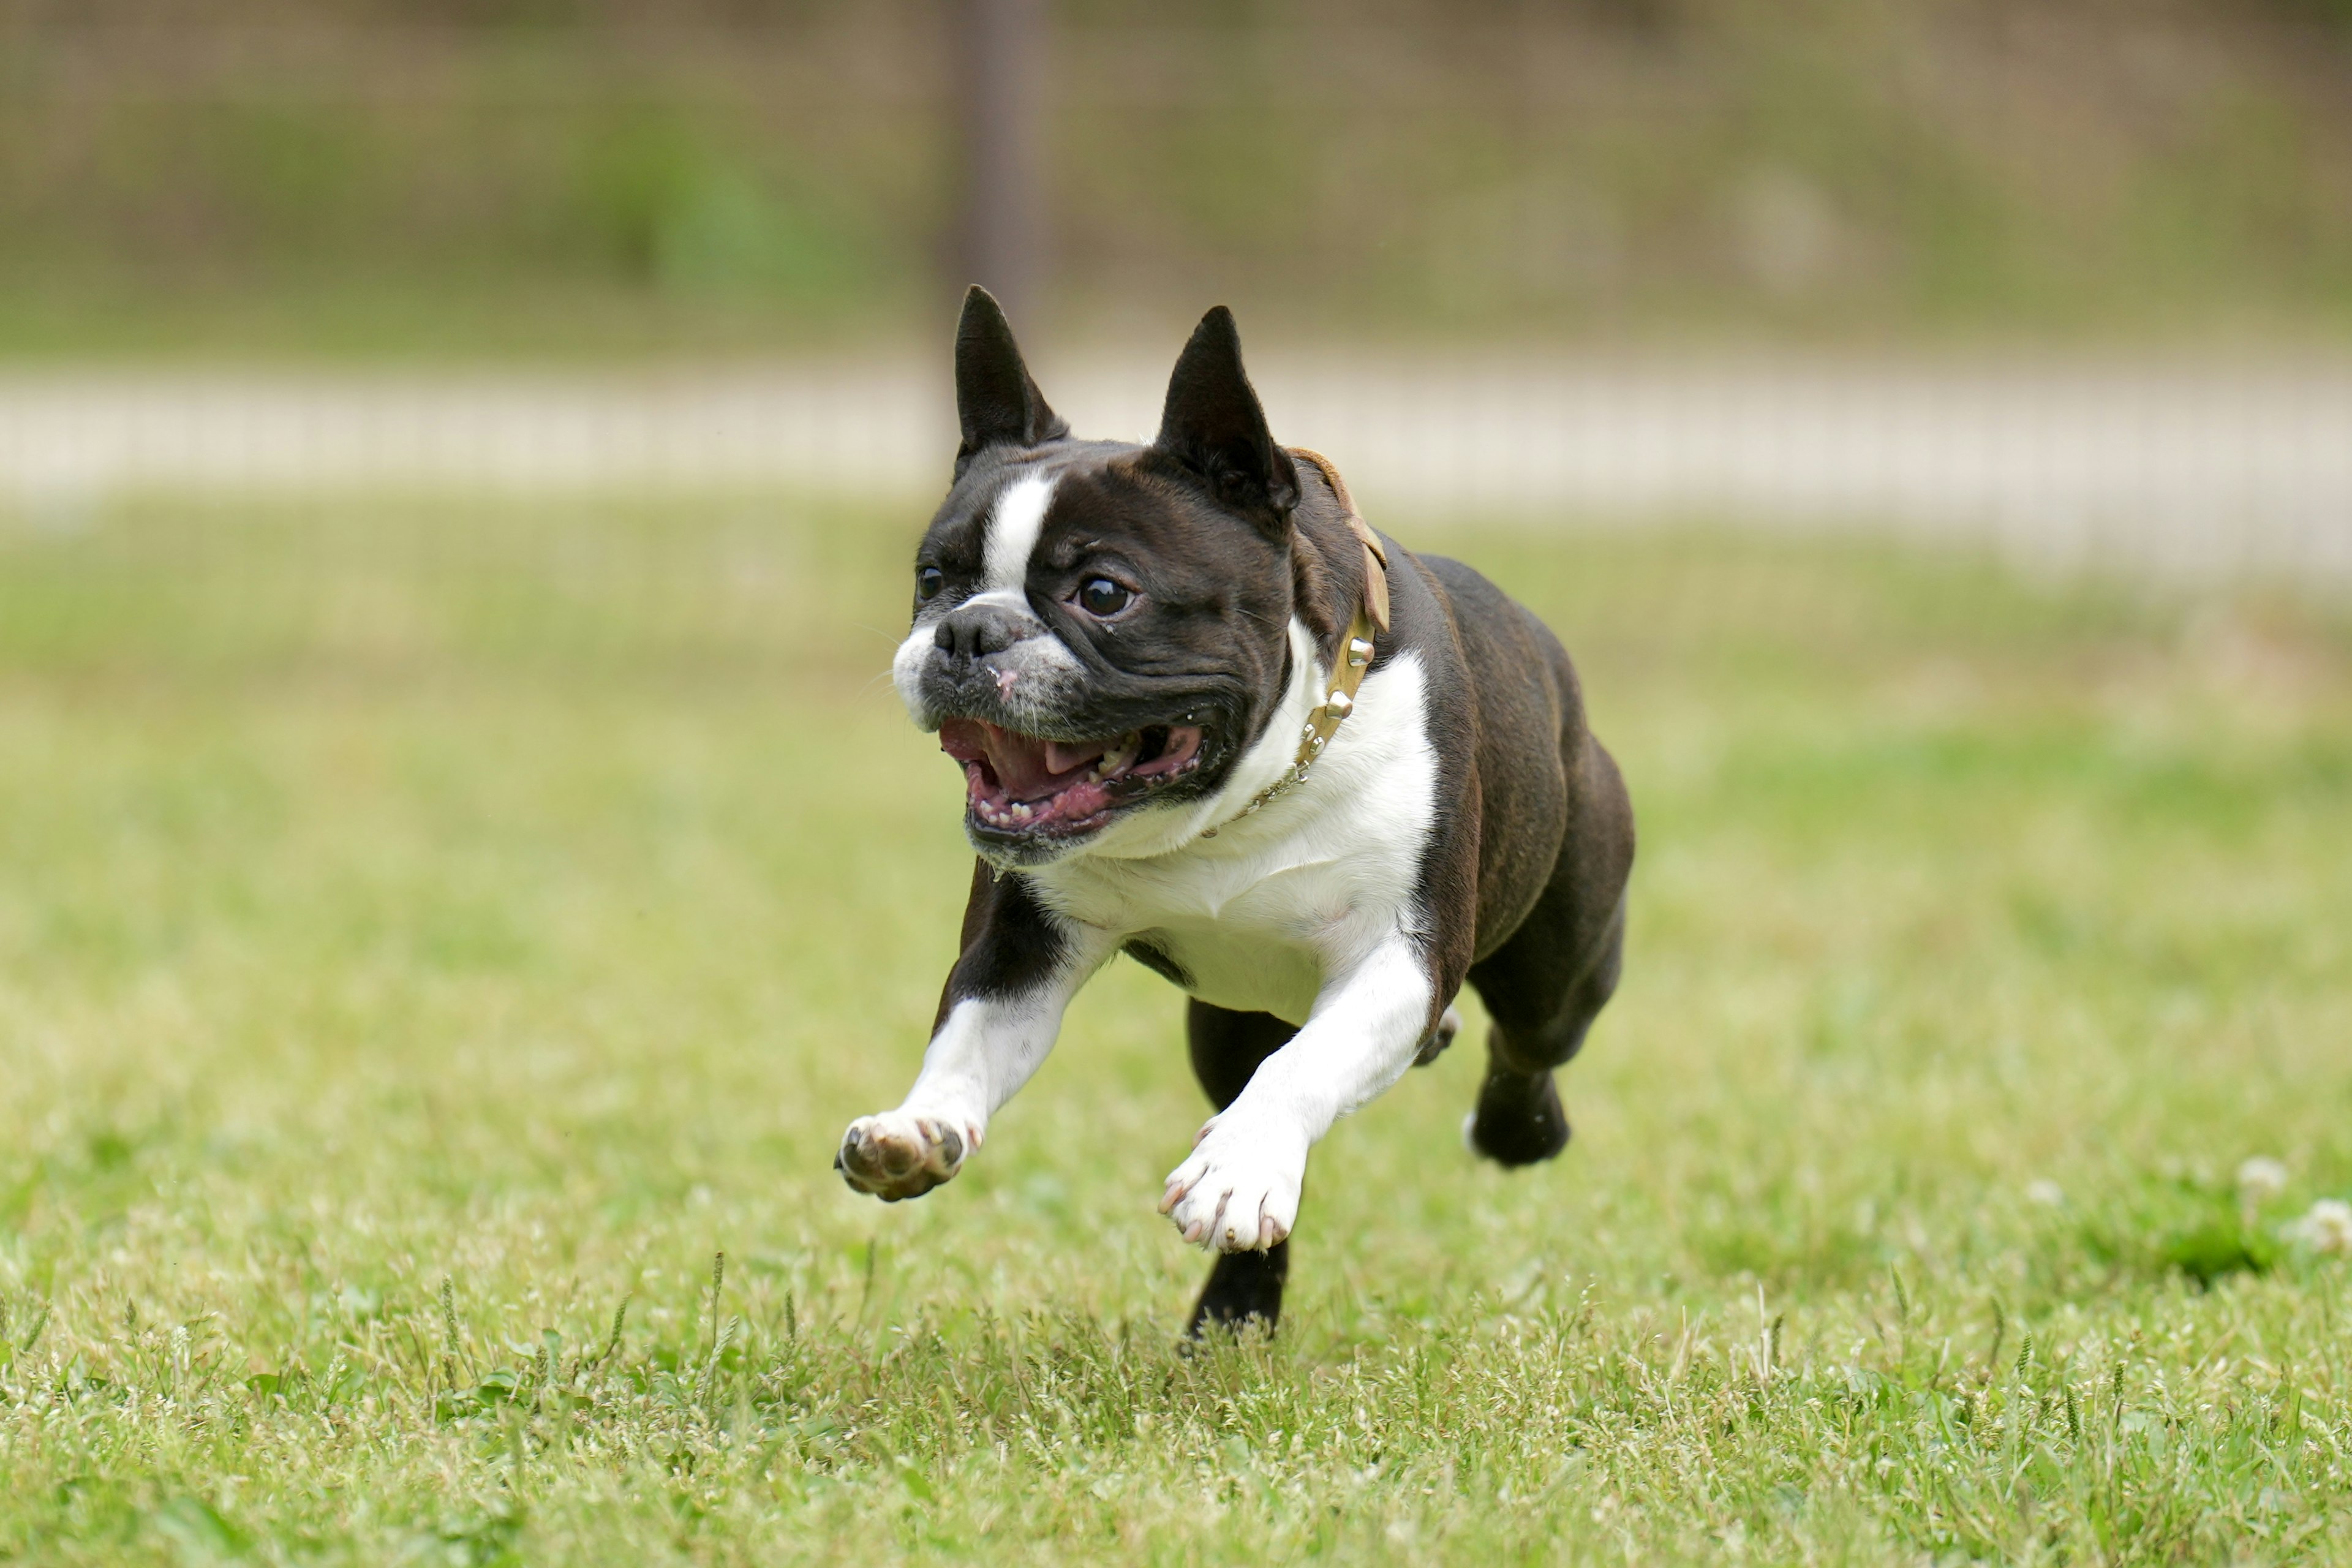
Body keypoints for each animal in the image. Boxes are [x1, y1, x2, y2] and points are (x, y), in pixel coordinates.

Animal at [842, 288, 1637, 1335]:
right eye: (933, 580)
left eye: (1105, 593)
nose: (969, 632)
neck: (1234, 804)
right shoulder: (1022, 944)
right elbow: (969, 1035)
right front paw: (919, 1125)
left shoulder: (1403, 953)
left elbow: (1303, 1069)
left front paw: (1237, 1168)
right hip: (1223, 1024)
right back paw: (1234, 1310)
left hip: (1565, 960)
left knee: (1527, 1041)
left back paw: (1515, 1129)